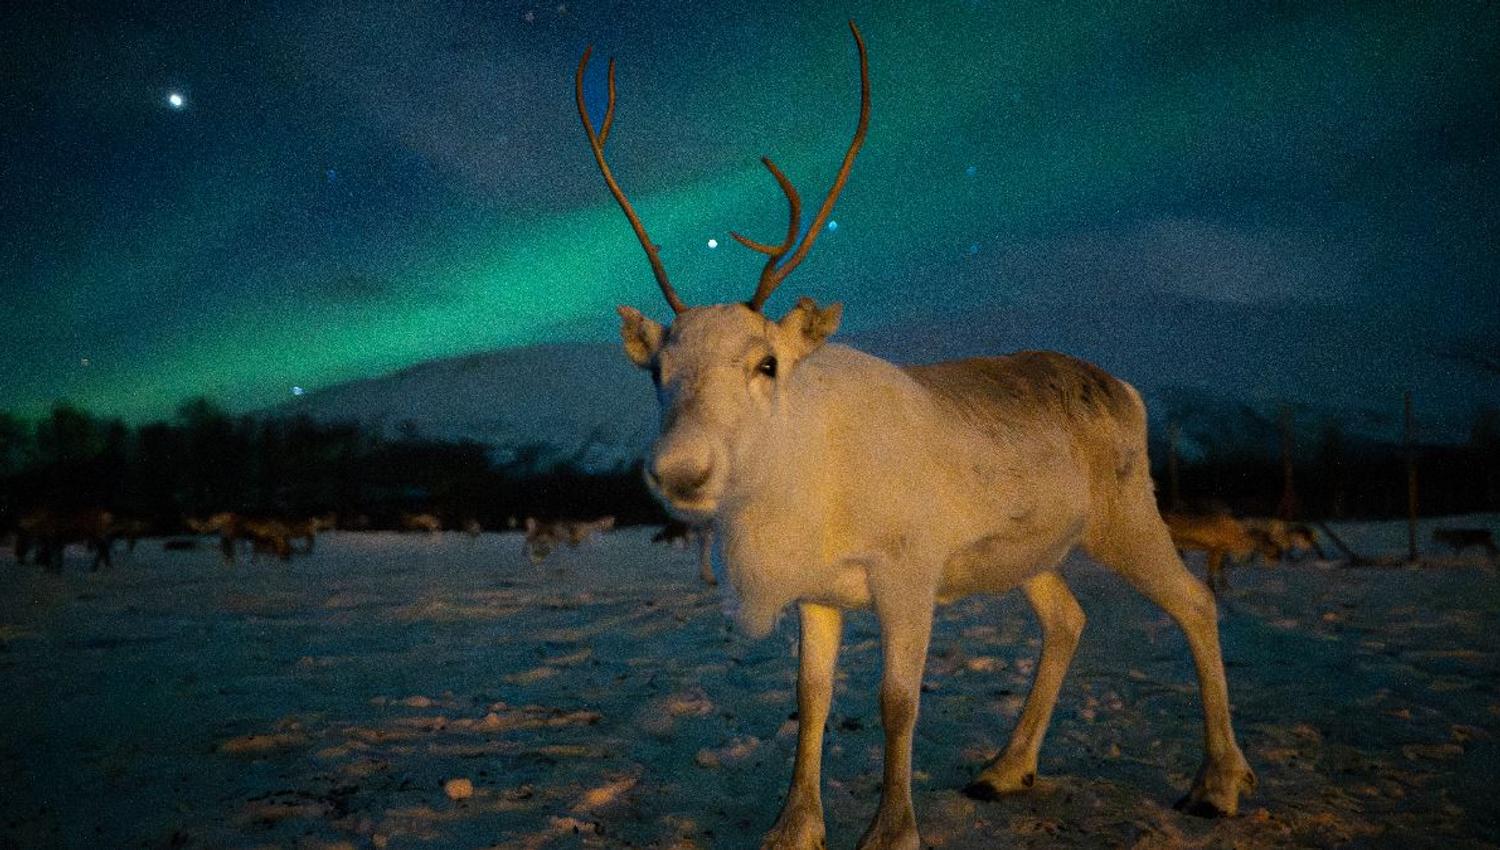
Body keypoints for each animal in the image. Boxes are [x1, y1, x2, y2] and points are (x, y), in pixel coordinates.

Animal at [574, 21, 1255, 849]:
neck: (804, 483)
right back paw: (1006, 767)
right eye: (656, 370)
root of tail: (1124, 388)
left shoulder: (909, 574)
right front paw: (793, 826)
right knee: (1067, 618)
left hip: (1127, 514)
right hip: (1030, 549)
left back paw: (1219, 780)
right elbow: (812, 699)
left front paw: (892, 829)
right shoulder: (819, 591)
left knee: (1195, 603)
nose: (679, 470)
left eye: (767, 362)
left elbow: (899, 701)